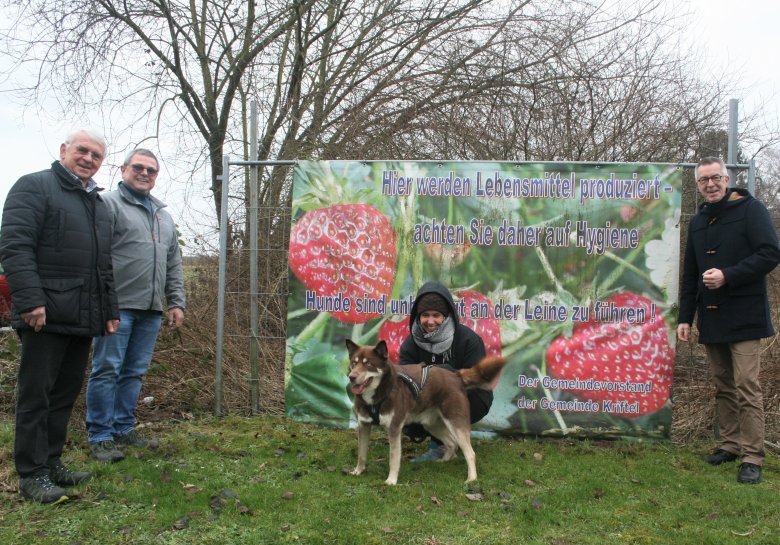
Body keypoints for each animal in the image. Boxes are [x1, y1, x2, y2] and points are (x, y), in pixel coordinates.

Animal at [346, 340, 506, 484]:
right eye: (354, 363)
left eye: (368, 364)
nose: (351, 377)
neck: (378, 395)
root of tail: (456, 375)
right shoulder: (363, 425)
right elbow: (361, 454)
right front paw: (358, 471)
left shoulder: (394, 428)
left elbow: (393, 458)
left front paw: (391, 480)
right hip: (432, 425)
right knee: (452, 443)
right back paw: (444, 461)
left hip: (455, 423)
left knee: (470, 453)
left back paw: (471, 479)